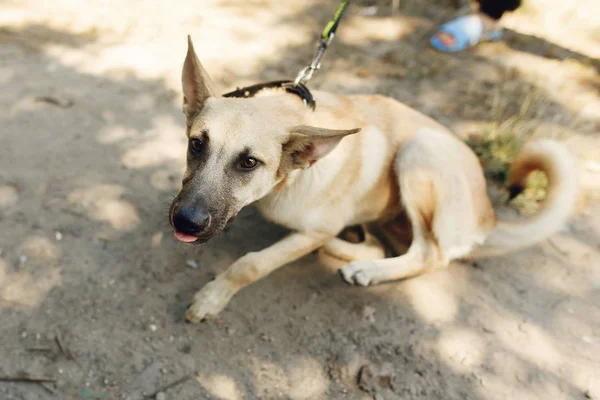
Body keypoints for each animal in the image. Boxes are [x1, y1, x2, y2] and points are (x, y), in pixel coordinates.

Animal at [168, 36, 576, 324]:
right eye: (196, 144)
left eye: (249, 162)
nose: (184, 222)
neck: (292, 178)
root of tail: (489, 215)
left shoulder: (312, 229)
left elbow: (250, 264)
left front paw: (212, 298)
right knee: (386, 245)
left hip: (420, 148)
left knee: (430, 253)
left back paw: (365, 267)